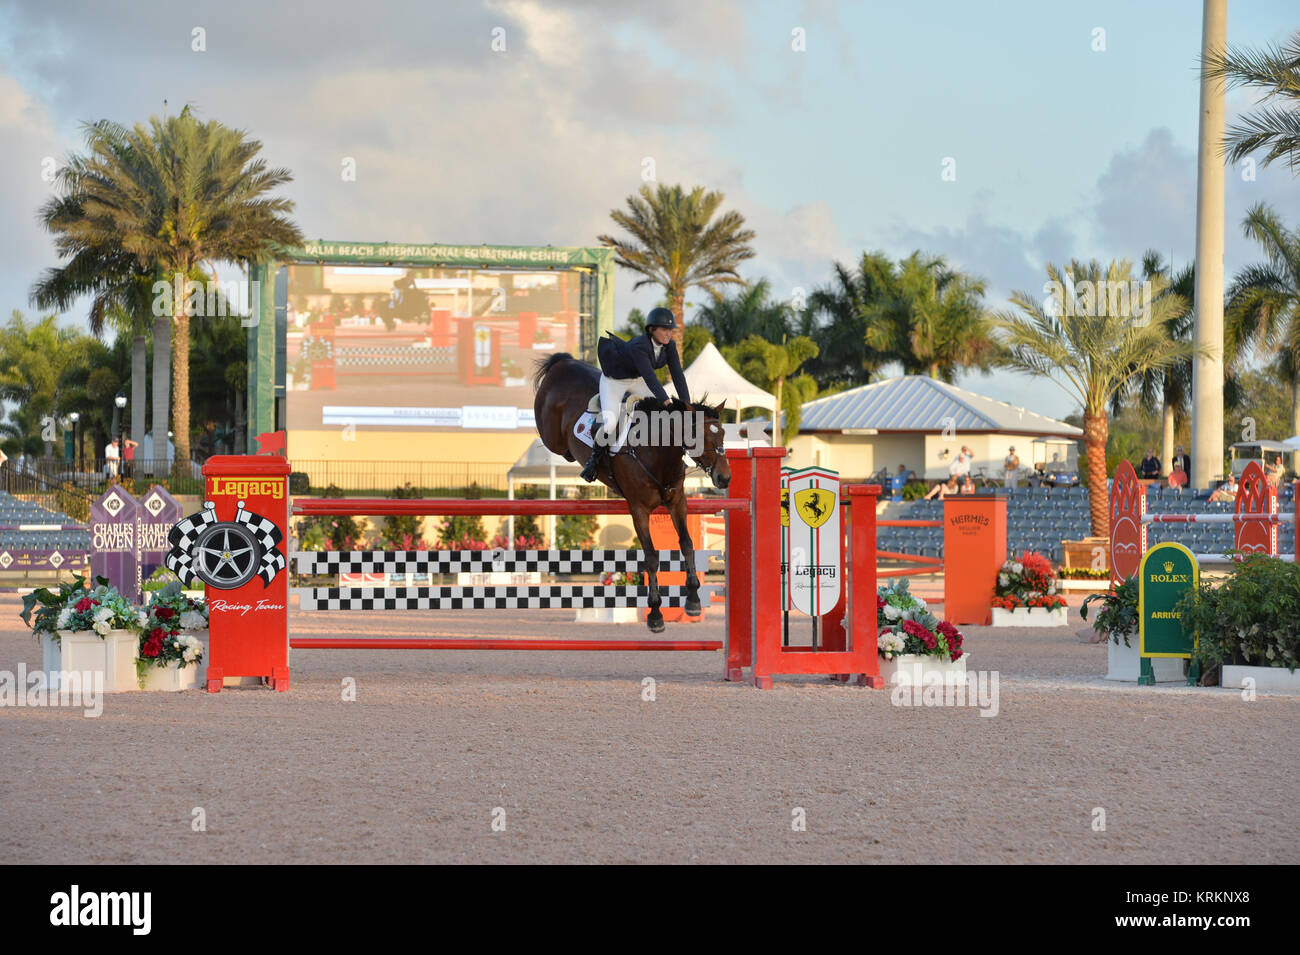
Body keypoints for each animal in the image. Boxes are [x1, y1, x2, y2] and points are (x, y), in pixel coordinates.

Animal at [530, 353, 733, 634]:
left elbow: (687, 545)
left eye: (722, 433)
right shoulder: (638, 510)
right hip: (552, 434)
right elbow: (651, 557)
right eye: (698, 435)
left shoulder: (677, 503)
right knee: (554, 443)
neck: (657, 452)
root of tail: (562, 363)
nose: (724, 478)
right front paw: (656, 615)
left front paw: (693, 600)